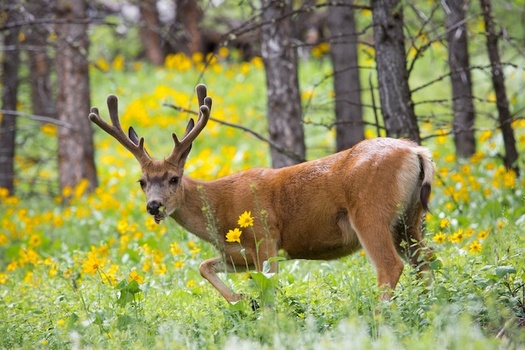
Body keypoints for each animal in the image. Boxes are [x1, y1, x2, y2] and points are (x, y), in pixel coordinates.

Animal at [89, 84, 434, 300]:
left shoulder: (266, 237)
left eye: (174, 178)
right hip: (409, 219)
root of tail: (418, 152)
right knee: (425, 260)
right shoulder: (238, 253)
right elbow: (203, 266)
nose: (154, 206)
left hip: (370, 211)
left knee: (391, 266)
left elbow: (269, 292)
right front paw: (241, 299)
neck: (219, 210)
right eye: (142, 181)